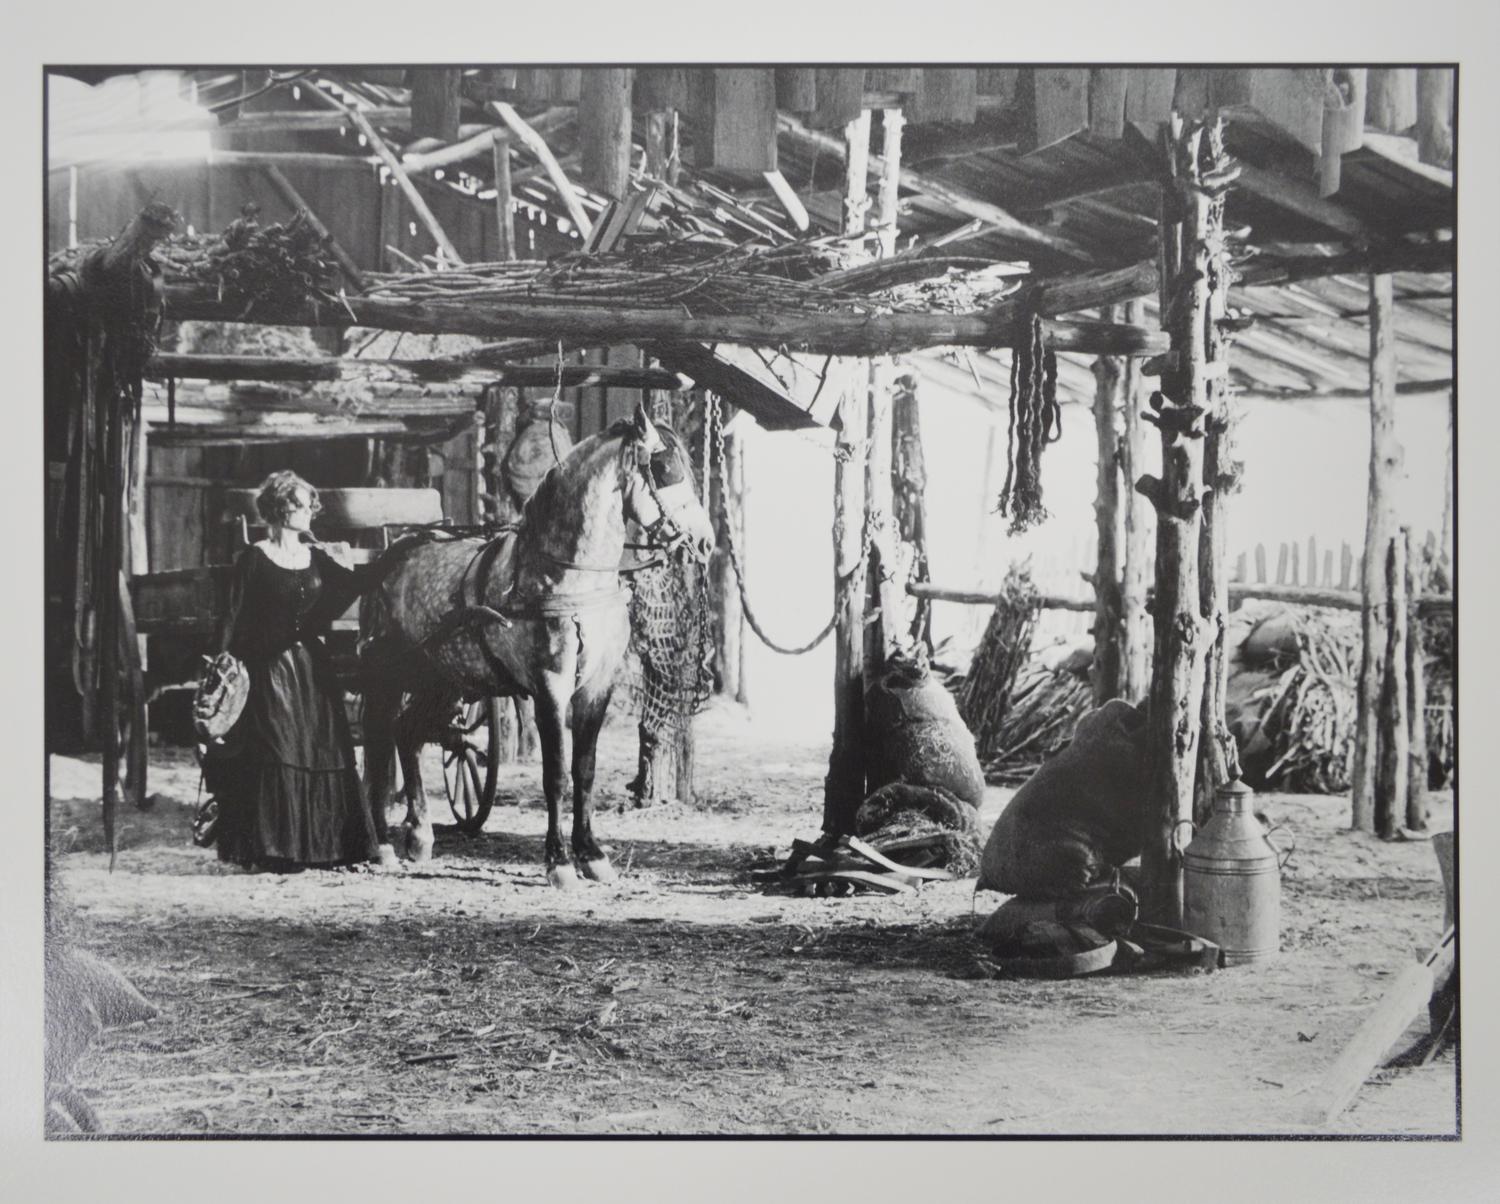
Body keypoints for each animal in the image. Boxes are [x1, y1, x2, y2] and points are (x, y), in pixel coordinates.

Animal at [357, 402, 715, 888]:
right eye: (664, 467)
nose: (706, 542)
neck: (569, 577)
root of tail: (392, 554)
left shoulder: (597, 687)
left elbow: (584, 770)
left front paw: (592, 854)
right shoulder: (550, 686)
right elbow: (556, 775)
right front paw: (559, 862)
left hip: (445, 678)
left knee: (407, 732)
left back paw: (419, 834)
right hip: (390, 676)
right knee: (379, 743)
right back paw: (381, 844)